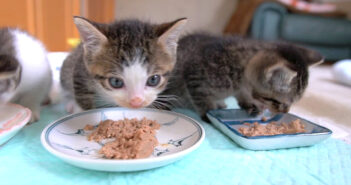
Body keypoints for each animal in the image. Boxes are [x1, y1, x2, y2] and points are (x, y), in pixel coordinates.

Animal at [161, 33, 324, 117]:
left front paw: (248, 103)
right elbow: (201, 100)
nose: (286, 112)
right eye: (278, 102)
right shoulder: (194, 74)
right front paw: (208, 113)